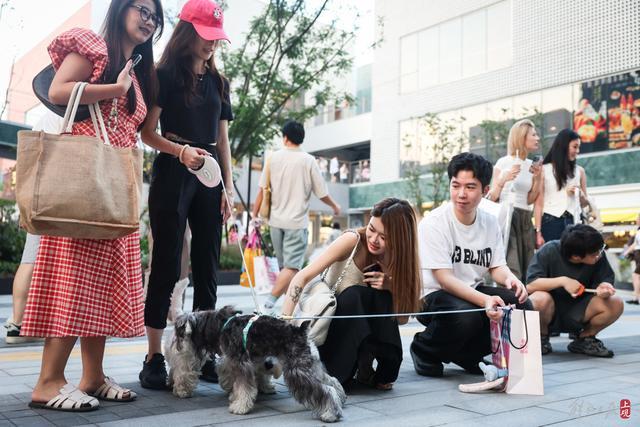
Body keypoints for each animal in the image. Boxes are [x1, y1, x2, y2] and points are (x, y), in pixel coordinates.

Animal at [165, 306, 344, 422]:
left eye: (179, 333)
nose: (173, 347)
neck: (222, 325)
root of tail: (301, 331)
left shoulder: (241, 365)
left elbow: (244, 389)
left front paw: (239, 407)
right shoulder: (241, 364)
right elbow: (240, 385)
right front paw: (236, 398)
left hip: (297, 371)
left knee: (326, 389)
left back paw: (330, 414)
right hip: (311, 366)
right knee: (332, 381)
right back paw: (341, 400)